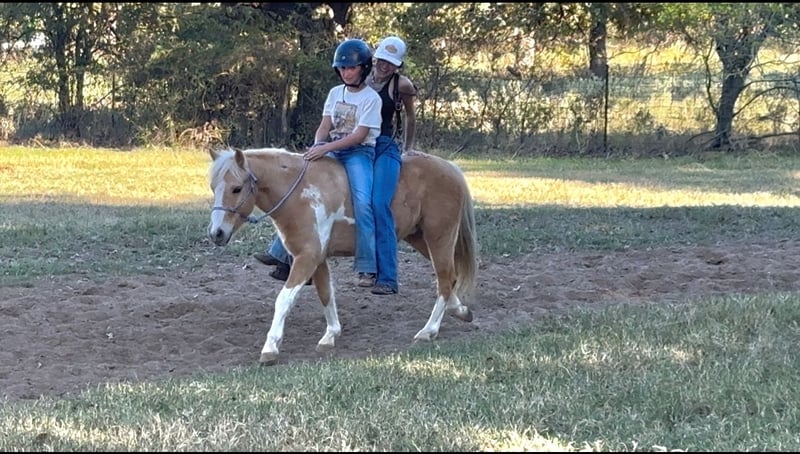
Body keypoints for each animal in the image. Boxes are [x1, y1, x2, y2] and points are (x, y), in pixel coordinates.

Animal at [207, 147, 478, 365]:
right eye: (213, 187)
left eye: (236, 188)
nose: (216, 233)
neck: (301, 193)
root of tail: (450, 168)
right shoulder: (317, 259)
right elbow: (326, 294)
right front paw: (330, 335)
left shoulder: (307, 257)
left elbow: (284, 300)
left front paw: (270, 348)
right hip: (420, 238)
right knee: (449, 278)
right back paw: (460, 311)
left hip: (439, 237)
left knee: (444, 280)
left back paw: (428, 330)